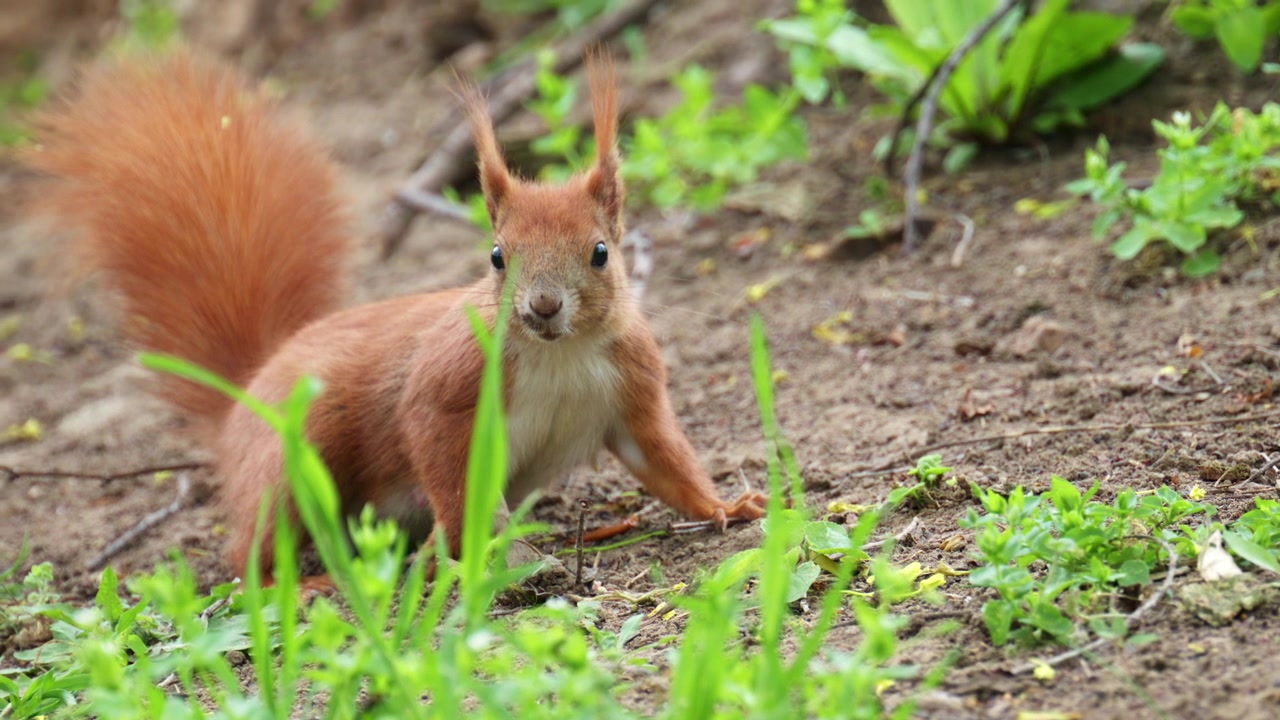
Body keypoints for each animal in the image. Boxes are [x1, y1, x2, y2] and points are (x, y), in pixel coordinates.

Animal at [26, 49, 768, 585]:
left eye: (600, 253)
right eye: (497, 256)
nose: (542, 306)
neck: (559, 353)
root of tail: (245, 398)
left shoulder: (635, 386)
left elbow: (665, 458)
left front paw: (727, 506)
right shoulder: (448, 384)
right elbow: (437, 448)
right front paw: (472, 549)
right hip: (295, 450)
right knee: (251, 558)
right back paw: (317, 585)